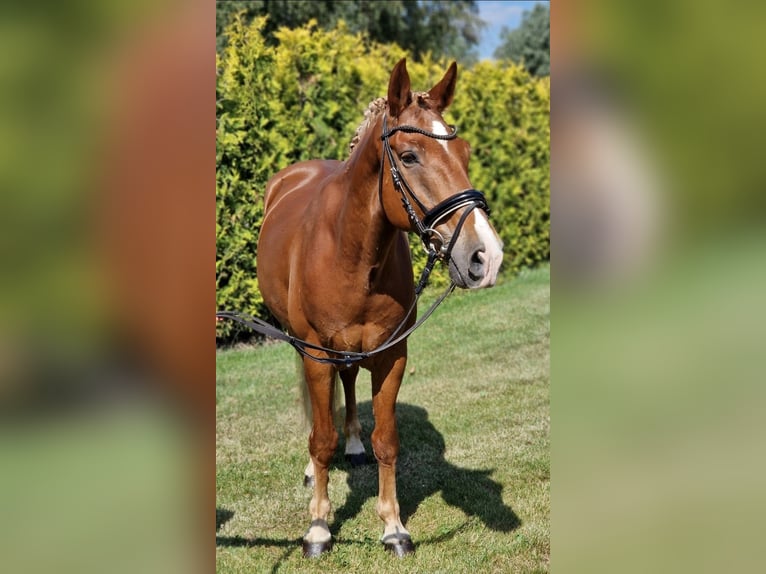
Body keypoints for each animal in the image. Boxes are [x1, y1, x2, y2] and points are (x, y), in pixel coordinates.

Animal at [256, 58, 504, 558]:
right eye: (409, 157)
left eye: (465, 152)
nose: (485, 256)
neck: (350, 251)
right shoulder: (316, 355)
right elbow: (321, 439)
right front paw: (318, 527)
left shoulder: (392, 355)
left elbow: (387, 441)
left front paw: (393, 526)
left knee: (350, 382)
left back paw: (354, 445)